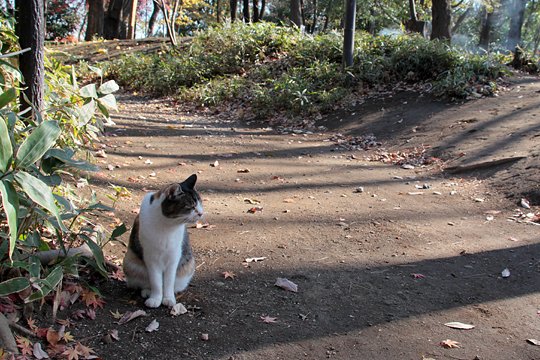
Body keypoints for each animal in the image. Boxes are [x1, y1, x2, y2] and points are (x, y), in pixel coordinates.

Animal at [123, 174, 204, 306]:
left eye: (200, 203)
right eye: (191, 206)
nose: (201, 213)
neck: (167, 225)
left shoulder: (174, 257)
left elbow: (169, 281)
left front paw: (168, 298)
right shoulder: (151, 258)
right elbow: (156, 282)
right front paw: (155, 299)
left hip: (188, 266)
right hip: (130, 263)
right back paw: (147, 292)